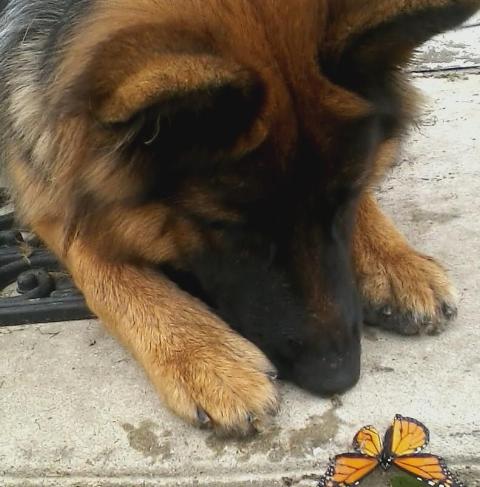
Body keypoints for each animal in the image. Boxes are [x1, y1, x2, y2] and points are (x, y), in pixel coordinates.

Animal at [1, 0, 479, 435]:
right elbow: (93, 250)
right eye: (234, 231)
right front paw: (202, 355)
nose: (337, 376)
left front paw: (395, 261)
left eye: (348, 197)